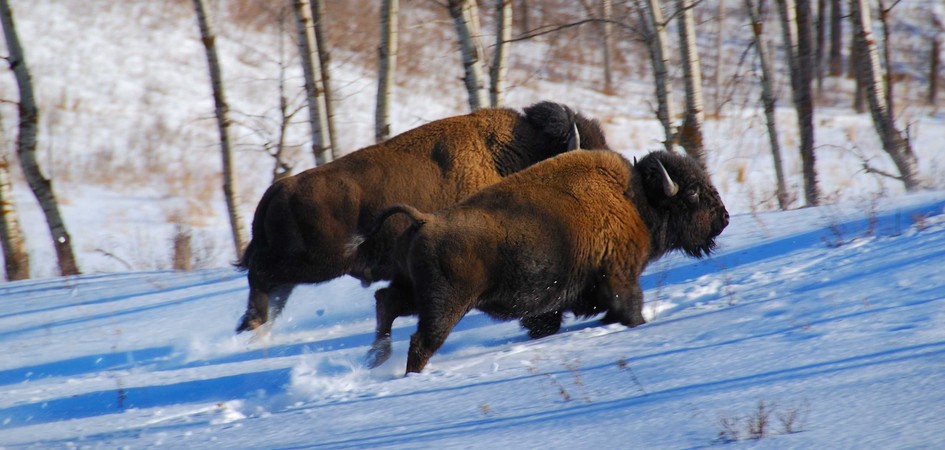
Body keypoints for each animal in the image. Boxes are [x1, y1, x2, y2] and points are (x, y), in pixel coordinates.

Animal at [358, 149, 728, 374]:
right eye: (693, 193)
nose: (724, 218)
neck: (636, 200)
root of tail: (426, 220)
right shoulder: (620, 280)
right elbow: (630, 309)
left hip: (414, 292)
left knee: (385, 302)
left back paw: (376, 358)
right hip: (445, 306)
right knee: (420, 341)